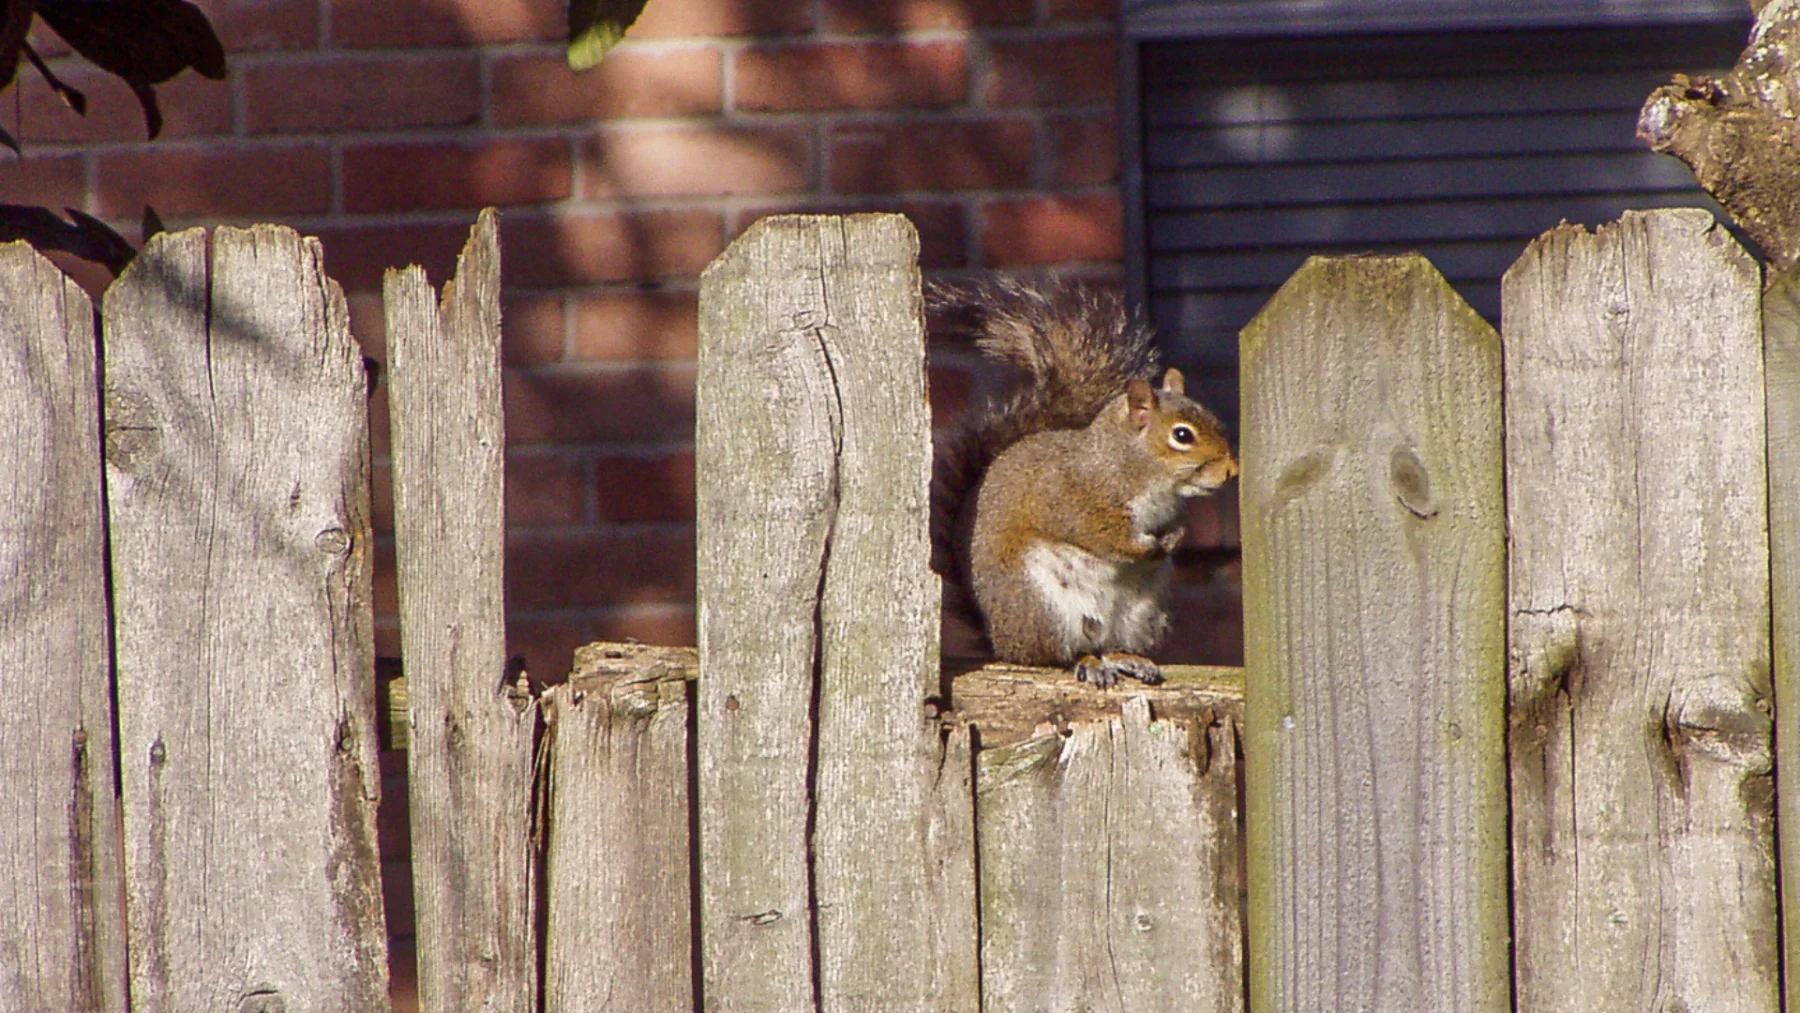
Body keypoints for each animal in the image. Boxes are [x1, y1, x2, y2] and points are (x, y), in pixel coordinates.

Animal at [929, 277, 1238, 687]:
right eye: (1182, 435)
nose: (1232, 470)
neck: (1132, 466)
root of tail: (1002, 640)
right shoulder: (1076, 499)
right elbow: (1102, 535)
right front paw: (1144, 546)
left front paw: (1175, 538)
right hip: (1044, 606)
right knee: (1058, 654)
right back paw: (1087, 662)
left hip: (1142, 614)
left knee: (1110, 644)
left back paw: (1127, 657)